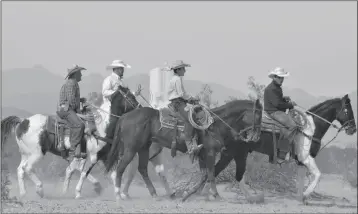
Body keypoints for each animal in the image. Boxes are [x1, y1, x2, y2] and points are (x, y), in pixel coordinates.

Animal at [103, 98, 262, 201]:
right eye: (259, 115)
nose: (257, 136)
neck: (215, 125)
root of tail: (124, 117)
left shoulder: (202, 155)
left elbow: (205, 175)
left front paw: (189, 194)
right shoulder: (210, 153)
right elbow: (211, 174)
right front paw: (215, 195)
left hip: (143, 148)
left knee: (142, 169)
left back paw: (154, 194)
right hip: (131, 149)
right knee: (121, 168)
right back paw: (118, 195)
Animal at [189, 93, 356, 202]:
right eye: (348, 110)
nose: (353, 129)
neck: (310, 128)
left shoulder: (301, 161)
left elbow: (302, 178)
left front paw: (300, 197)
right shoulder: (306, 158)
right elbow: (317, 175)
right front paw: (306, 194)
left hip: (236, 154)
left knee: (228, 174)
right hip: (233, 153)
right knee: (219, 171)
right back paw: (209, 194)